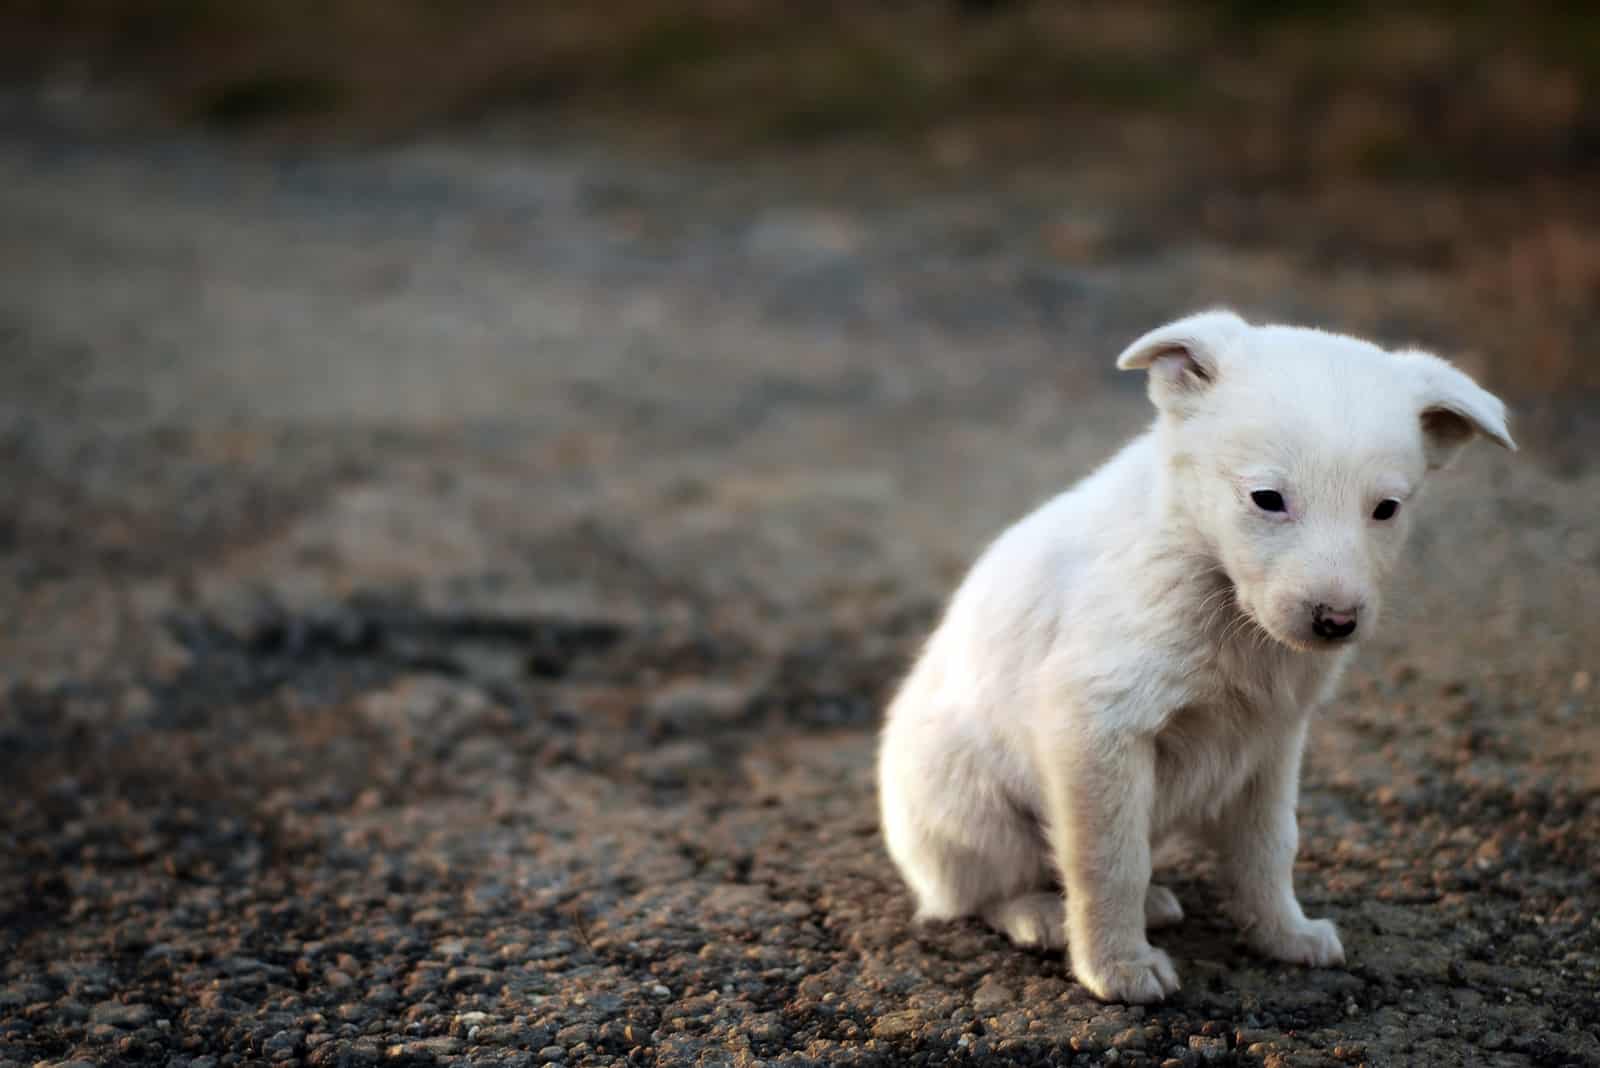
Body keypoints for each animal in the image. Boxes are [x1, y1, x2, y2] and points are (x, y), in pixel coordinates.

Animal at [876, 308, 1510, 1004]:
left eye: (1386, 509)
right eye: (1267, 499)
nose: (1336, 623)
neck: (1217, 588)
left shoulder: (1272, 742)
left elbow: (1269, 848)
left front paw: (1284, 935)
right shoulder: (1097, 727)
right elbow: (1110, 861)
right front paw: (1117, 967)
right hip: (970, 805)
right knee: (980, 891)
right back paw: (1039, 914)